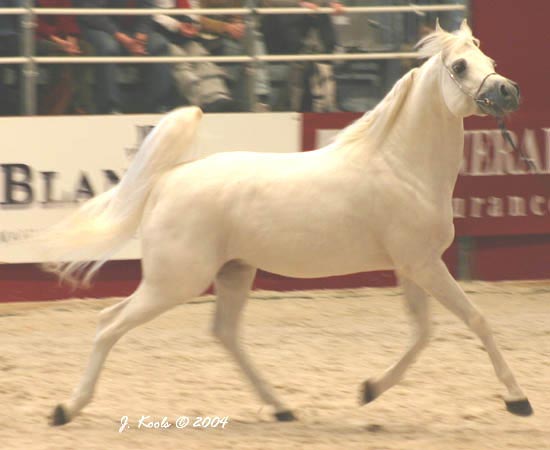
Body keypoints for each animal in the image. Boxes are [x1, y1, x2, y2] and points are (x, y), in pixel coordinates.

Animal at [44, 21, 536, 428]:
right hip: (174, 282)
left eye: (490, 62)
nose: (509, 91)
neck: (400, 165)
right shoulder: (424, 264)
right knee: (109, 323)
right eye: (460, 65)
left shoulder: (412, 266)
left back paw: (281, 408)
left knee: (224, 333)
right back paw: (65, 409)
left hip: (234, 272)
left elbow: (422, 334)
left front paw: (368, 390)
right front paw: (518, 400)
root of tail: (167, 179)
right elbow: (476, 319)